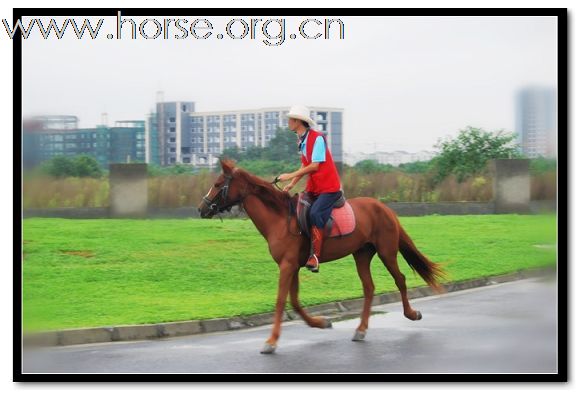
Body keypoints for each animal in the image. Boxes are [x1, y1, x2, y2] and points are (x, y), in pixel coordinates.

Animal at [198, 159, 444, 354]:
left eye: (218, 184)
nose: (201, 208)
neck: (280, 219)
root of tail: (384, 208)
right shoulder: (293, 266)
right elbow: (295, 301)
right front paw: (320, 323)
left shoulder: (287, 265)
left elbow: (281, 301)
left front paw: (271, 341)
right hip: (362, 254)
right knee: (369, 287)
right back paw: (361, 329)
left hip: (386, 251)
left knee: (399, 279)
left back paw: (411, 314)